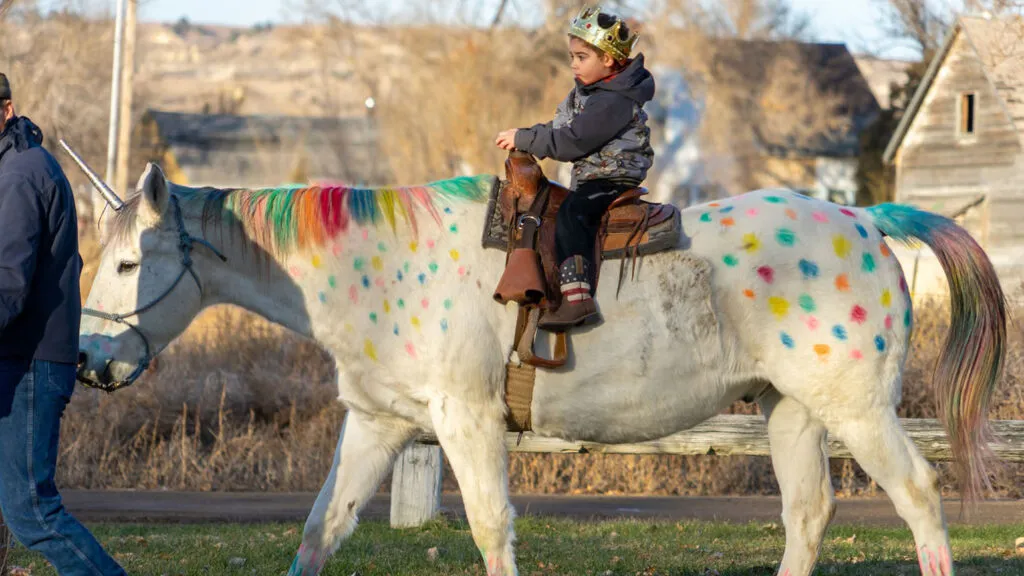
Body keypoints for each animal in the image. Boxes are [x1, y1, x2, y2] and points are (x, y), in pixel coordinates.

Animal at [75, 157, 1003, 573]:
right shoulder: (378, 427)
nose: (86, 361)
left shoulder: (467, 424)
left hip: (858, 412)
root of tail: (866, 219)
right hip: (792, 414)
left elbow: (491, 528)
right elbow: (320, 529)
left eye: (128, 263)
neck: (379, 269)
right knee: (808, 514)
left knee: (918, 496)